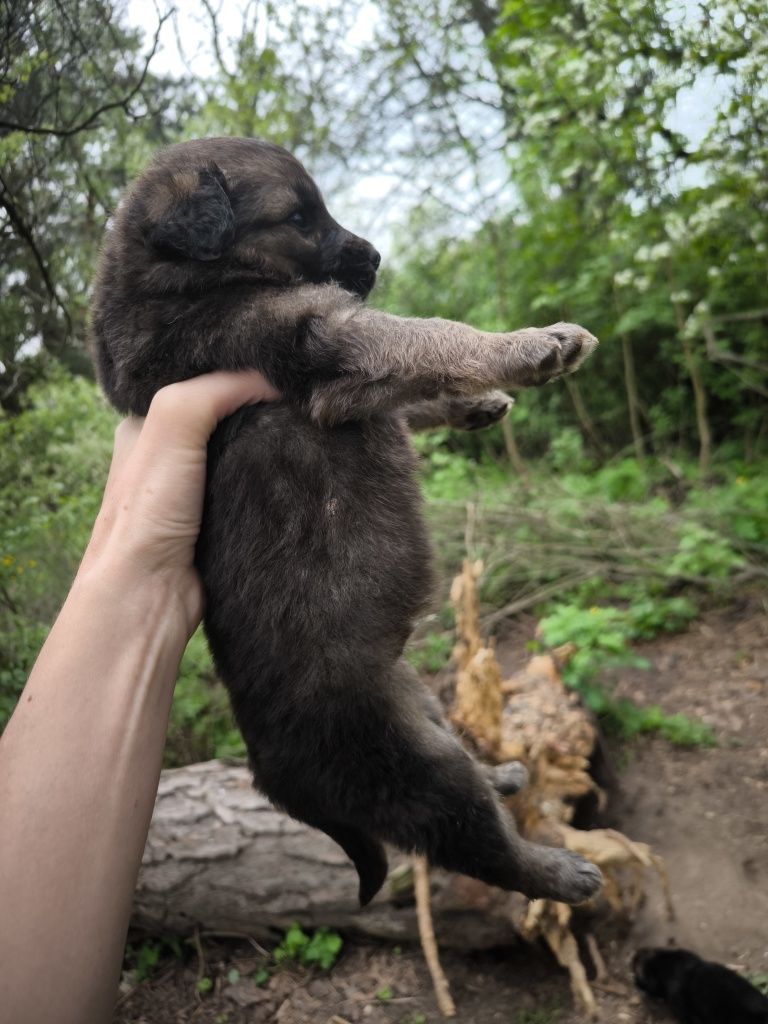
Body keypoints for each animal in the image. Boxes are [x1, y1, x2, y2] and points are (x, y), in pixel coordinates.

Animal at [90, 136, 606, 905]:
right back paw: (559, 871)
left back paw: (503, 771)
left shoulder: (346, 373)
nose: (377, 257)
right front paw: (532, 345)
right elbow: (429, 337)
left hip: (419, 706)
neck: (171, 279)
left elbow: (415, 383)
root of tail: (275, 783)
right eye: (299, 217)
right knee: (478, 846)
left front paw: (477, 402)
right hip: (411, 769)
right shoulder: (327, 343)